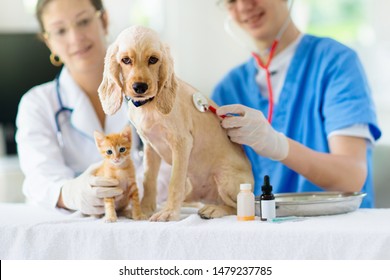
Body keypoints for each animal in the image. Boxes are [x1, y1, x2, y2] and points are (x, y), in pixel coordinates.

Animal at [99, 25, 254, 221]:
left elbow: (174, 182)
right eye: (126, 60)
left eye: (153, 59)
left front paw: (169, 213)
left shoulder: (182, 143)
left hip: (225, 177)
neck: (149, 106)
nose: (140, 87)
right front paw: (145, 209)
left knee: (238, 206)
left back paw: (213, 209)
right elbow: (149, 180)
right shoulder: (150, 147)